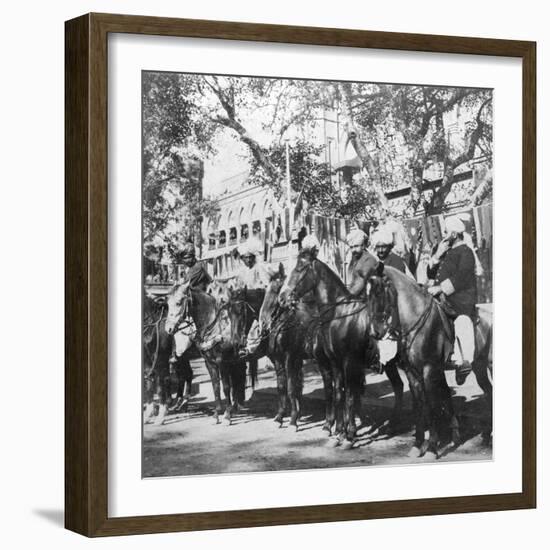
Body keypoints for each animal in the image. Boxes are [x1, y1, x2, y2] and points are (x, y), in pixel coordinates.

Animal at [164, 284, 250, 426]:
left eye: (178, 302)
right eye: (167, 303)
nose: (168, 329)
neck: (213, 328)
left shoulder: (222, 362)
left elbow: (225, 387)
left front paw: (227, 415)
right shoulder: (209, 362)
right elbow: (215, 386)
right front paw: (217, 414)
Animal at [280, 252, 406, 450]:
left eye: (300, 268)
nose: (283, 297)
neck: (339, 316)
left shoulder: (349, 363)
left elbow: (350, 397)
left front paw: (349, 435)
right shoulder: (335, 363)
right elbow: (339, 394)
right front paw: (339, 432)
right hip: (391, 365)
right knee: (399, 387)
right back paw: (392, 425)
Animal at [368, 266, 464, 458]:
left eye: (380, 291)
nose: (375, 332)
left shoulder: (429, 370)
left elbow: (432, 405)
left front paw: (432, 448)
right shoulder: (413, 373)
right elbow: (420, 405)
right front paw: (417, 444)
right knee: (445, 393)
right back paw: (454, 435)